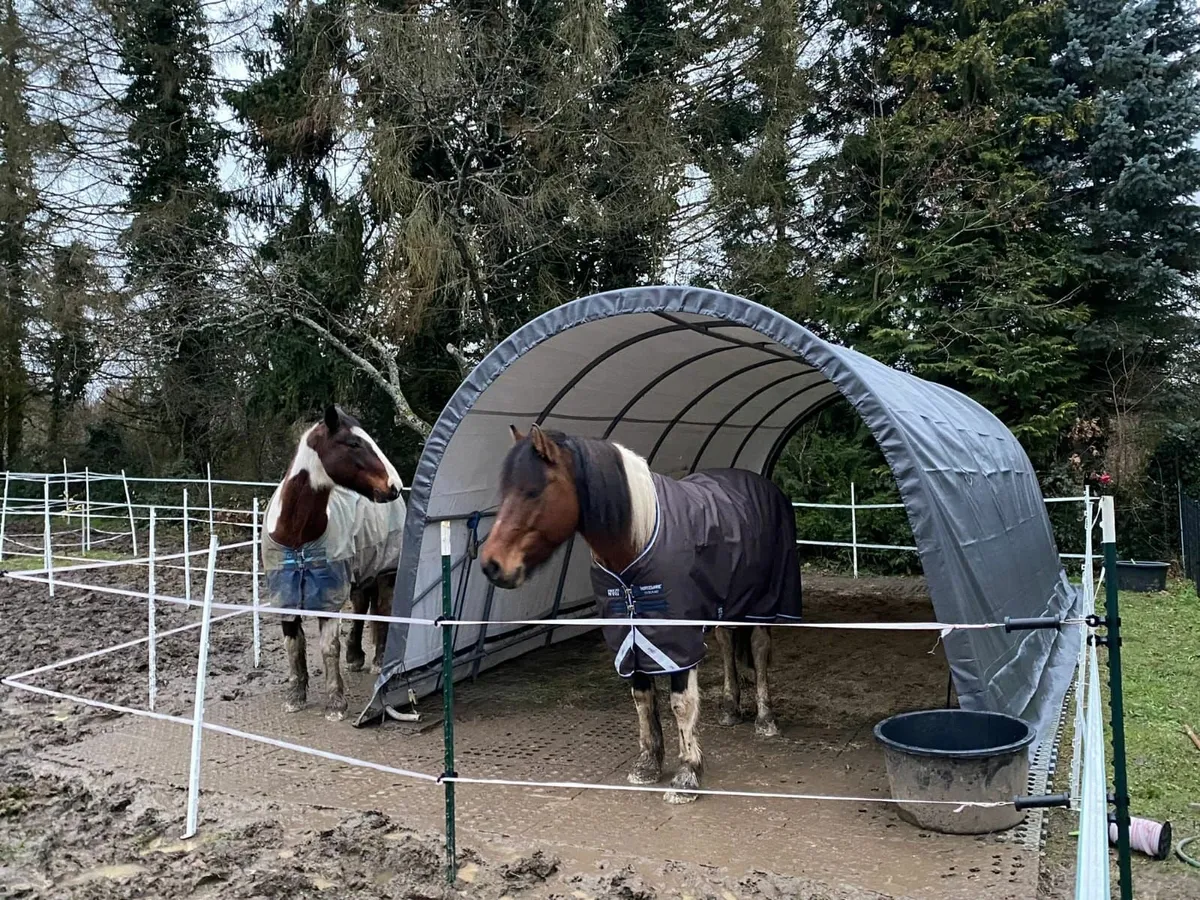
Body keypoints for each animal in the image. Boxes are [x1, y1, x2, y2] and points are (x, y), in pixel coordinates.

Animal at [261, 405, 407, 721]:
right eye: (353, 443)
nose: (395, 486)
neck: (297, 537)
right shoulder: (285, 594)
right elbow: (293, 644)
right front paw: (295, 697)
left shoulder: (327, 596)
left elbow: (329, 648)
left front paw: (336, 705)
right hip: (359, 572)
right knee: (362, 605)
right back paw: (355, 657)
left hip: (384, 569)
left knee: (382, 608)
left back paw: (378, 660)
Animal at [479, 424, 801, 803]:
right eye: (504, 491)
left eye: (533, 492)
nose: (491, 564)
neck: (638, 540)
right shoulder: (628, 634)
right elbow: (642, 696)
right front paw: (647, 764)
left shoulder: (677, 637)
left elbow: (681, 703)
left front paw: (686, 776)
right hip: (728, 606)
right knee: (726, 645)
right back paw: (729, 709)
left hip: (766, 601)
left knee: (761, 650)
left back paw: (765, 719)